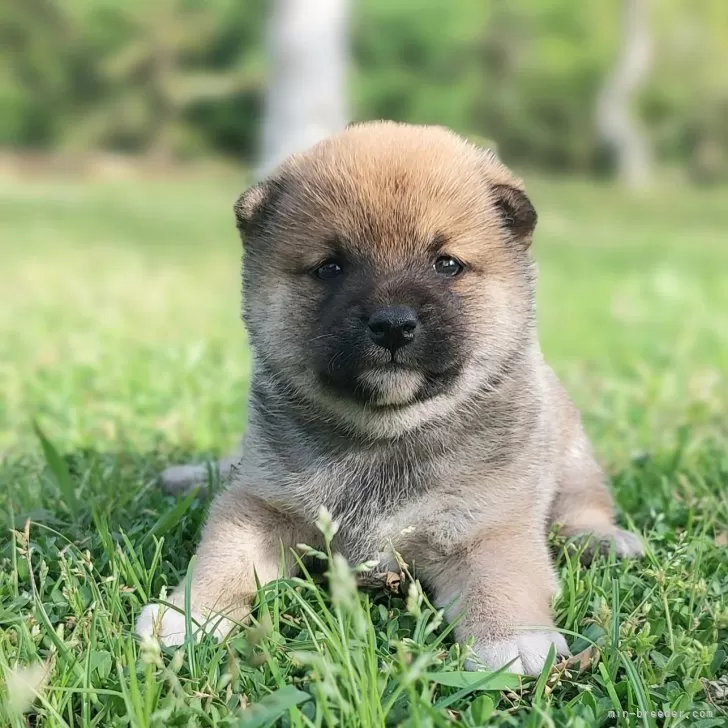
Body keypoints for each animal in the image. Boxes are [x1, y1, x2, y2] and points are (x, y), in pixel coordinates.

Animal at [136, 122, 644, 672]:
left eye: (447, 264)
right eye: (331, 267)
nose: (393, 325)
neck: (384, 435)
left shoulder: (489, 524)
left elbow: (504, 578)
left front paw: (512, 639)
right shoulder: (260, 503)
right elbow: (222, 560)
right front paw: (187, 614)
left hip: (573, 460)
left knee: (583, 505)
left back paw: (606, 540)